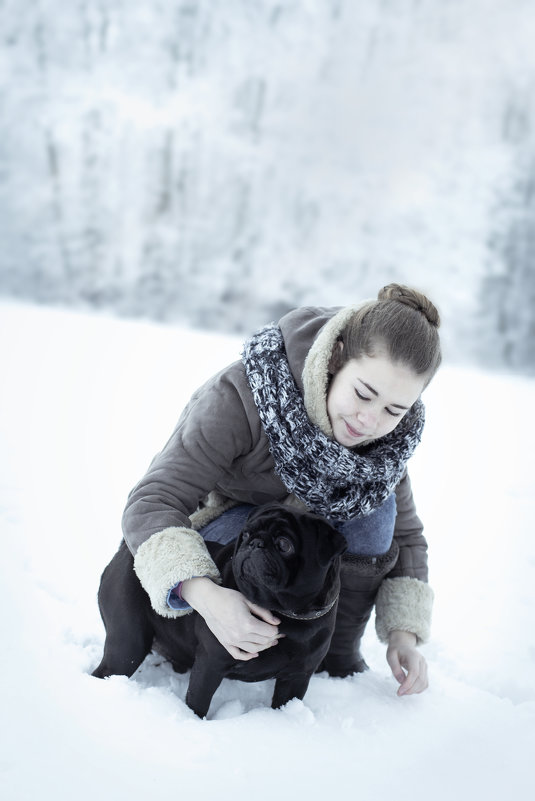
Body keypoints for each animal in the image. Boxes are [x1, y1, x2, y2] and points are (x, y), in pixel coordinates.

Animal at [93, 504, 348, 716]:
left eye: (284, 545)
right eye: (245, 535)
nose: (254, 543)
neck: (283, 614)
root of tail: (125, 552)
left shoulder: (297, 677)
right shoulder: (211, 663)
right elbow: (198, 700)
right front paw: (194, 720)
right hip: (128, 645)